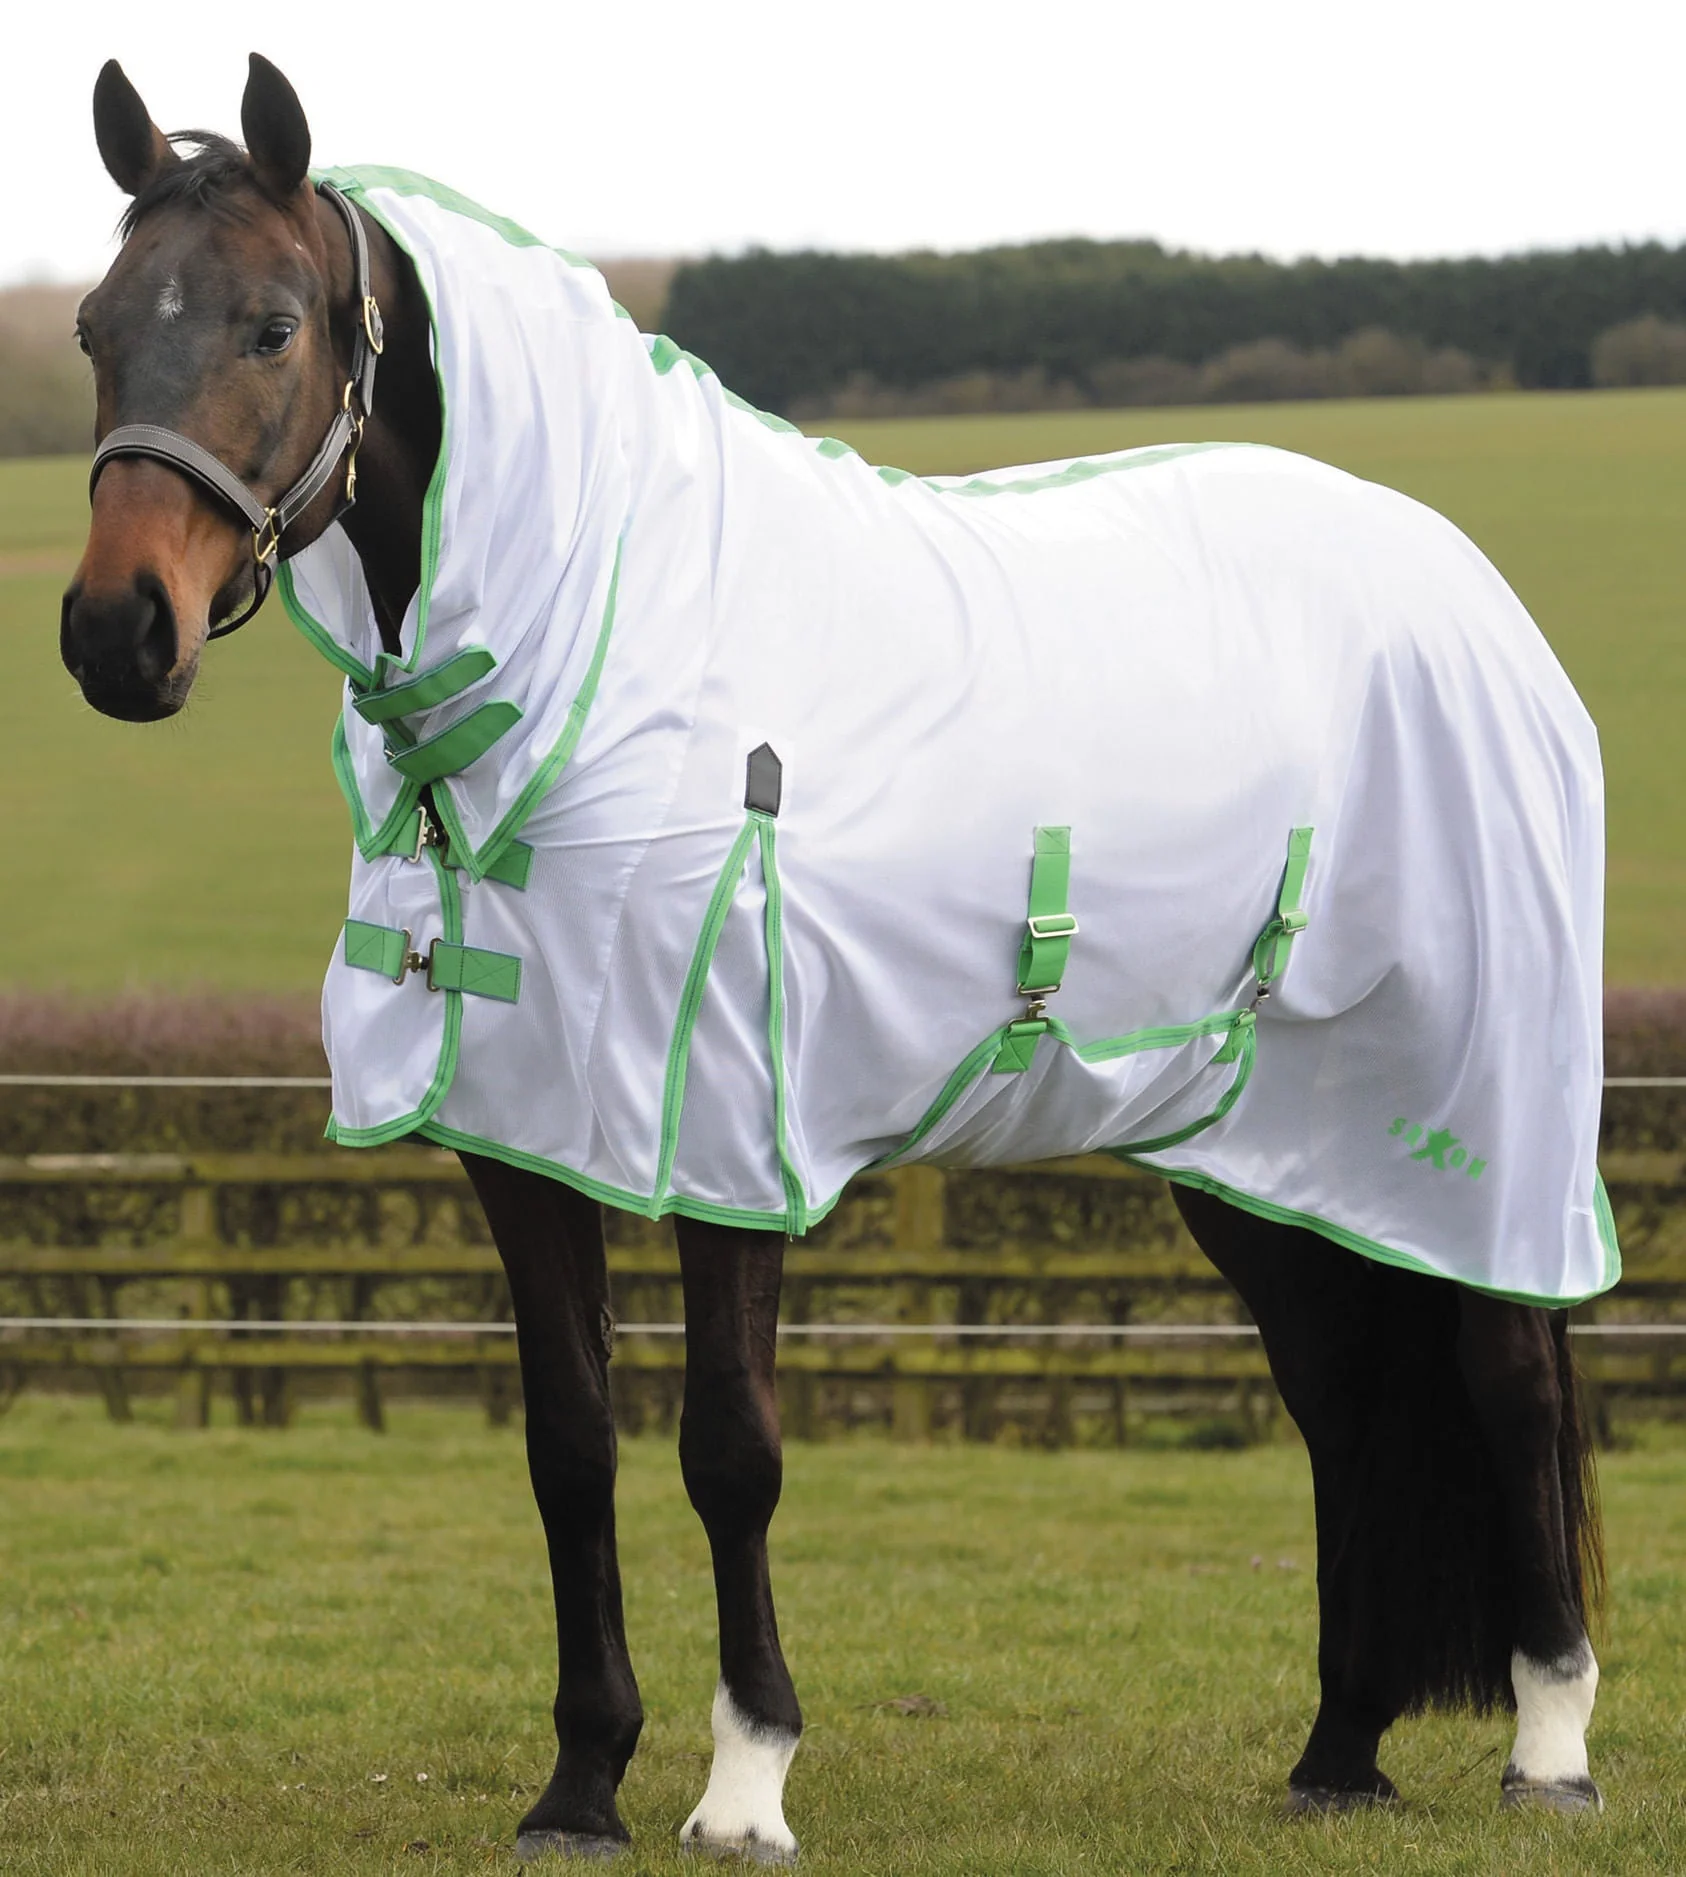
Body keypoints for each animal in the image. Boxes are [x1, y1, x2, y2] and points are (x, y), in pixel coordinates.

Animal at [60, 54, 1613, 1861]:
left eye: (271, 325)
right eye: (94, 327)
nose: (116, 635)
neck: (611, 650)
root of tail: (1472, 603)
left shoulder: (734, 1131)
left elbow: (728, 1449)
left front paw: (745, 1778)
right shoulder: (523, 1137)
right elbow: (568, 1445)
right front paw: (579, 1781)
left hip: (1475, 1100)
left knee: (1510, 1373)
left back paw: (1549, 1746)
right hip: (1267, 1151)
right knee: (1347, 1397)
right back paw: (1339, 1754)